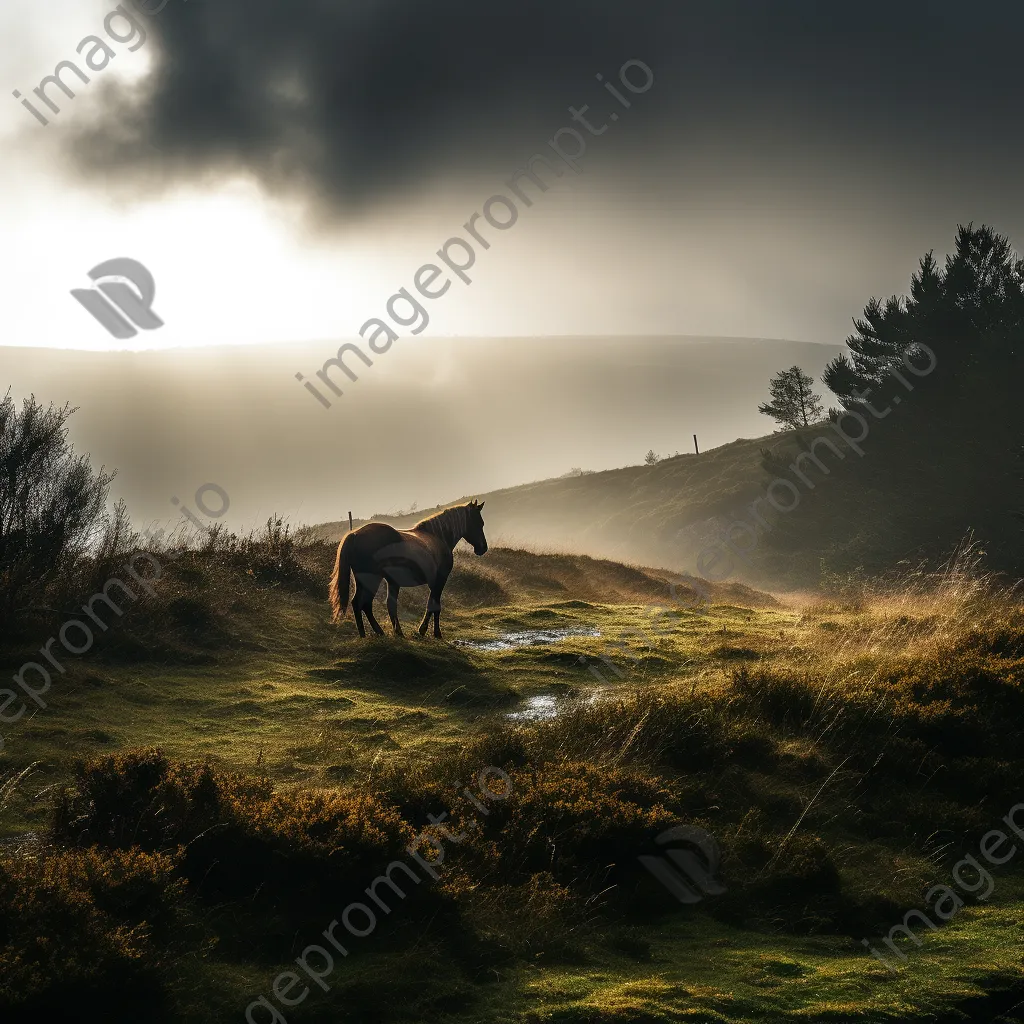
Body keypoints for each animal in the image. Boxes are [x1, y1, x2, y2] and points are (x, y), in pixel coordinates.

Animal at [327, 499, 487, 634]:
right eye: (479, 523)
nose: (483, 548)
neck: (438, 537)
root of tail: (354, 534)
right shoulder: (440, 580)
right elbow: (434, 605)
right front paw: (430, 632)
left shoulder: (401, 582)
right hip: (372, 579)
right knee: (363, 603)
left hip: (364, 580)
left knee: (360, 604)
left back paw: (372, 634)